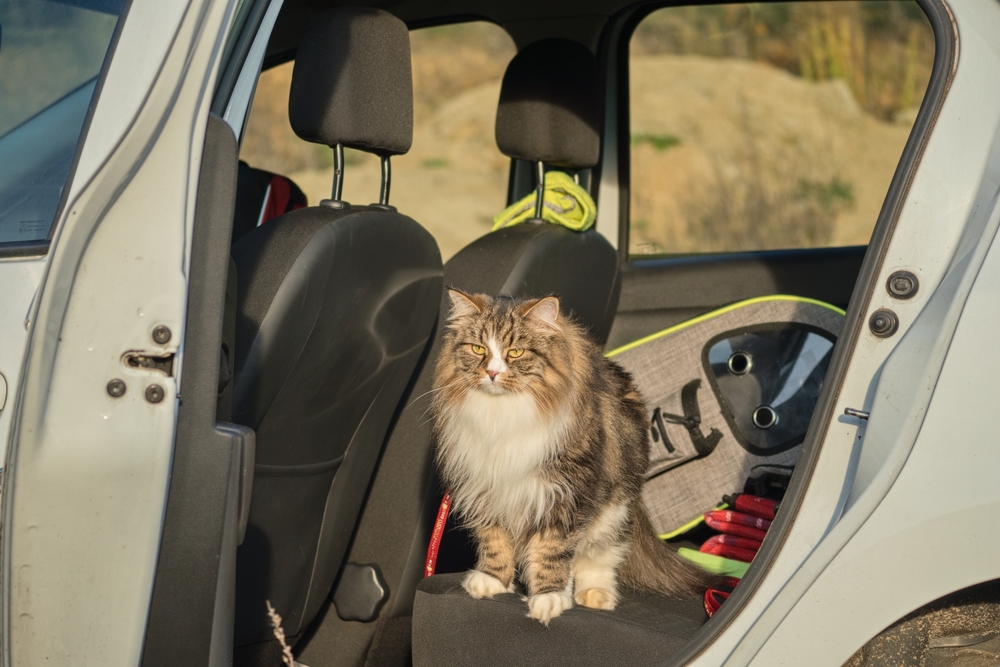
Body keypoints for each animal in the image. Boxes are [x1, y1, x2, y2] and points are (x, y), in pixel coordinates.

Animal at [434, 290, 716, 628]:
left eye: (515, 352)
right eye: (478, 349)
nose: (492, 373)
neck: (501, 415)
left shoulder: (566, 492)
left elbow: (552, 550)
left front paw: (548, 598)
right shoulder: (484, 486)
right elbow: (494, 541)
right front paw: (492, 581)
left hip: (614, 509)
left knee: (598, 556)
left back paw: (594, 595)